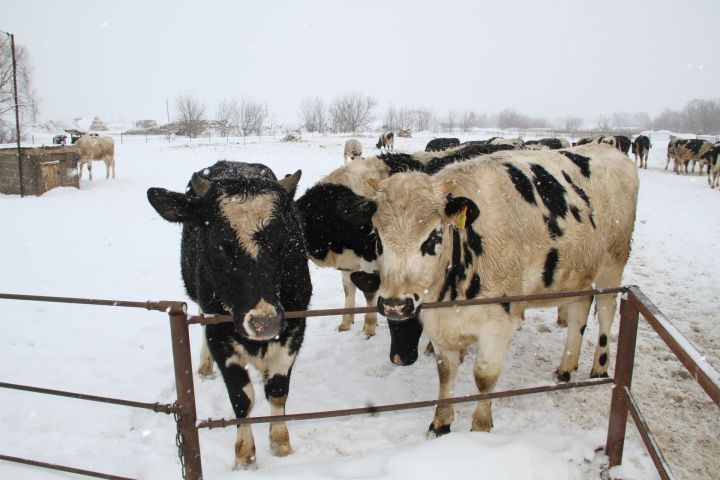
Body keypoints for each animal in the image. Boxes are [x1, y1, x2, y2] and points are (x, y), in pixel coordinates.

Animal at [147, 162, 312, 468]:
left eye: (282, 241)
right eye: (219, 245)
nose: (264, 322)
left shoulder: (295, 325)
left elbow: (278, 389)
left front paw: (281, 444)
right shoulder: (218, 333)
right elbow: (242, 397)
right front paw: (245, 456)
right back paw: (204, 366)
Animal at [348, 142, 636, 436]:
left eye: (433, 236)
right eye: (378, 237)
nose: (395, 305)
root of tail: (606, 148)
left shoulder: (498, 323)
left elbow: (484, 377)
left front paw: (481, 428)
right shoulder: (438, 325)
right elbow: (445, 374)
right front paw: (441, 423)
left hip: (613, 263)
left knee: (606, 310)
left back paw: (600, 366)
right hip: (577, 275)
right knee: (580, 309)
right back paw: (566, 367)